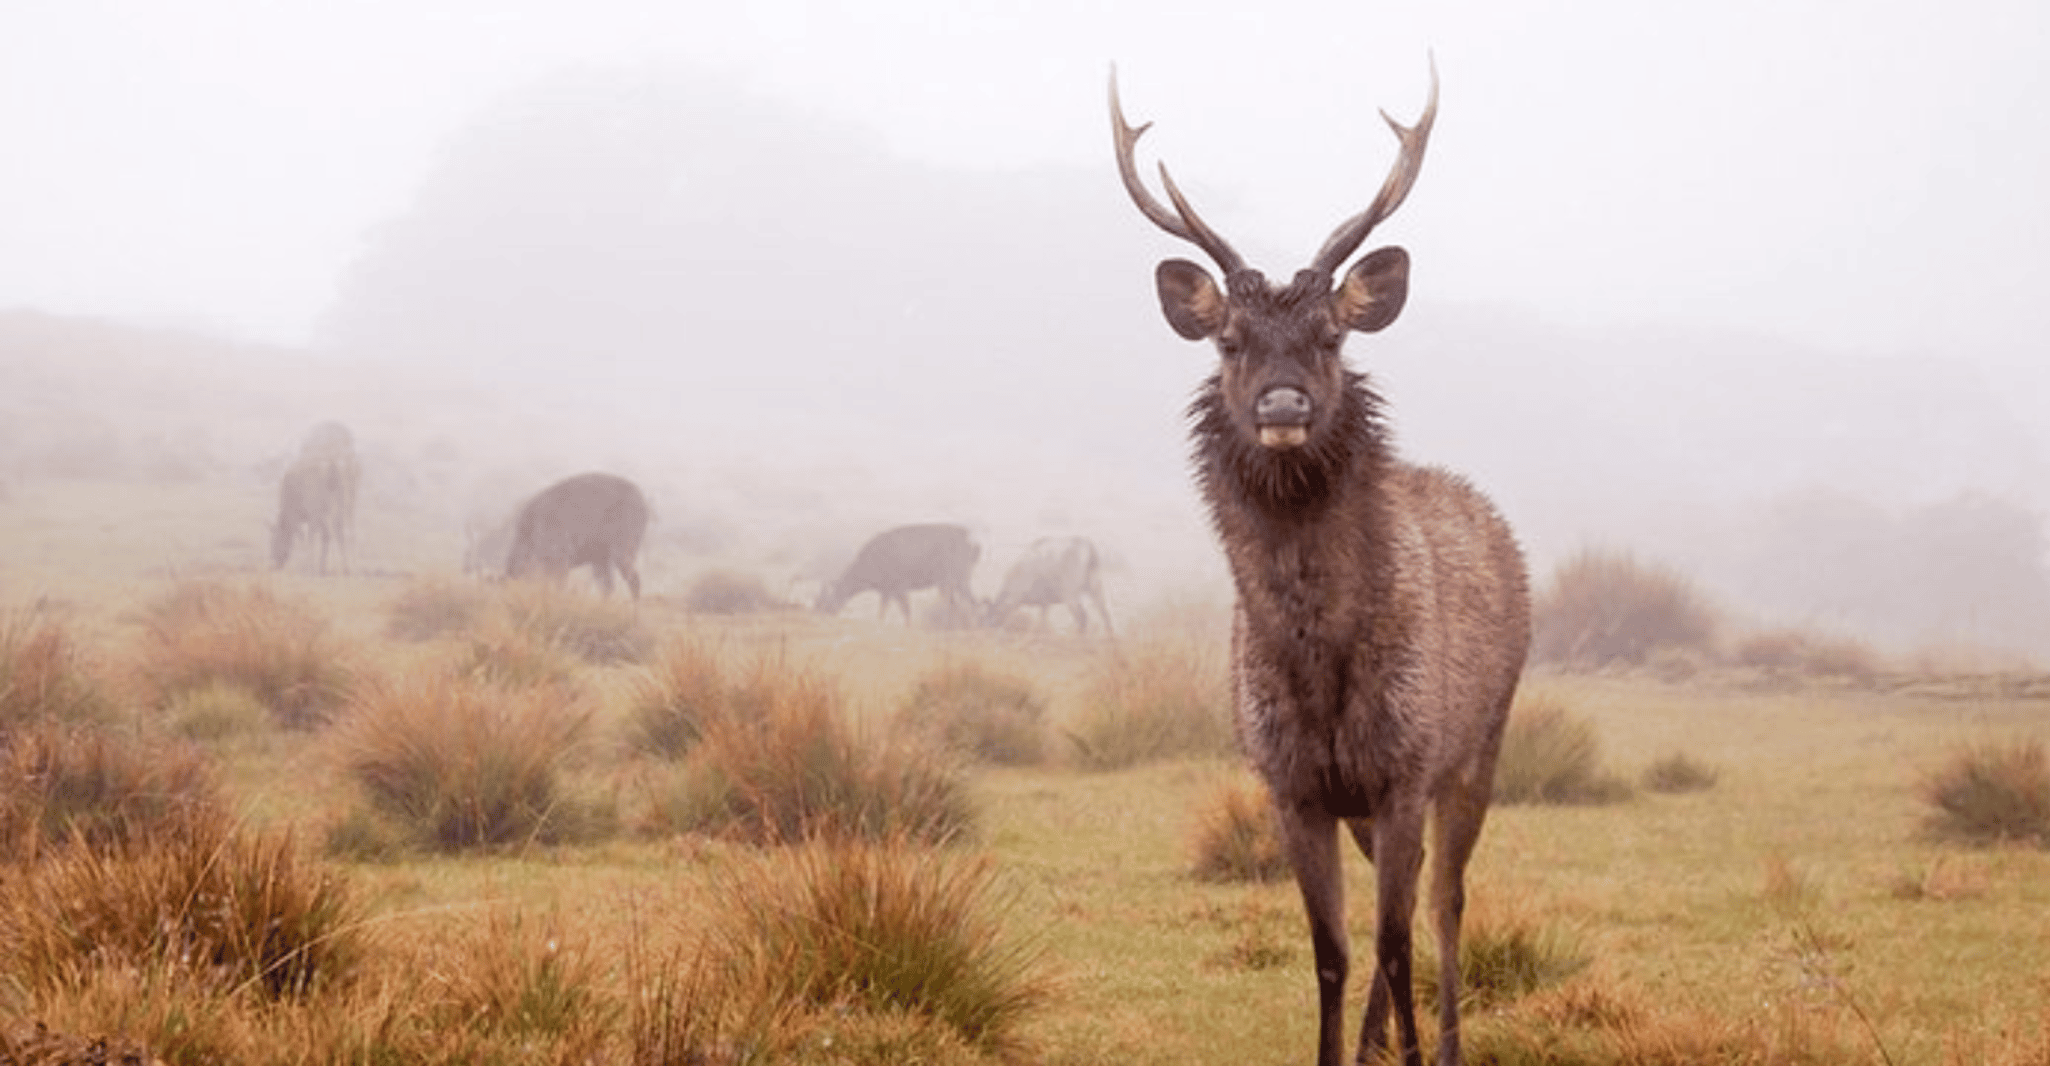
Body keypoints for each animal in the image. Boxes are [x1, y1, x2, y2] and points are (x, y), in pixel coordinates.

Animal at [1115, 64, 1533, 1066]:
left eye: (1332, 338)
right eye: (1230, 340)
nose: (1282, 405)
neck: (1319, 669)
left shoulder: (1407, 765)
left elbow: (1394, 939)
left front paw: (1417, 1055)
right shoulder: (1291, 784)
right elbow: (1334, 953)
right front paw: (1342, 1049)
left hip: (1482, 743)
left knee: (1446, 903)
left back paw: (1446, 1043)